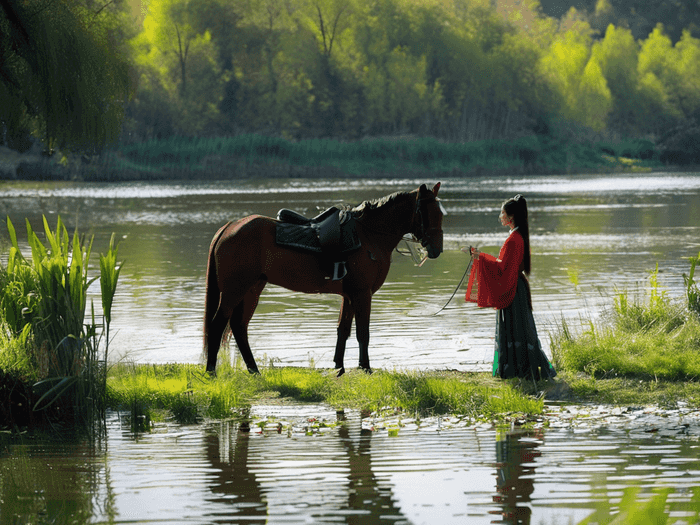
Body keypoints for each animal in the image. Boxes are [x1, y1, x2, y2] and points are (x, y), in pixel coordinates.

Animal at [202, 182, 442, 374]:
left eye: (440, 213)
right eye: (426, 212)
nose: (436, 249)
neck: (368, 235)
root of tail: (228, 228)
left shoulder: (349, 296)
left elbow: (343, 330)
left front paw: (339, 366)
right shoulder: (362, 294)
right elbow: (362, 332)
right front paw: (365, 367)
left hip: (252, 289)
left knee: (239, 327)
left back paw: (254, 370)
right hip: (234, 290)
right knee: (217, 325)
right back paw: (212, 371)